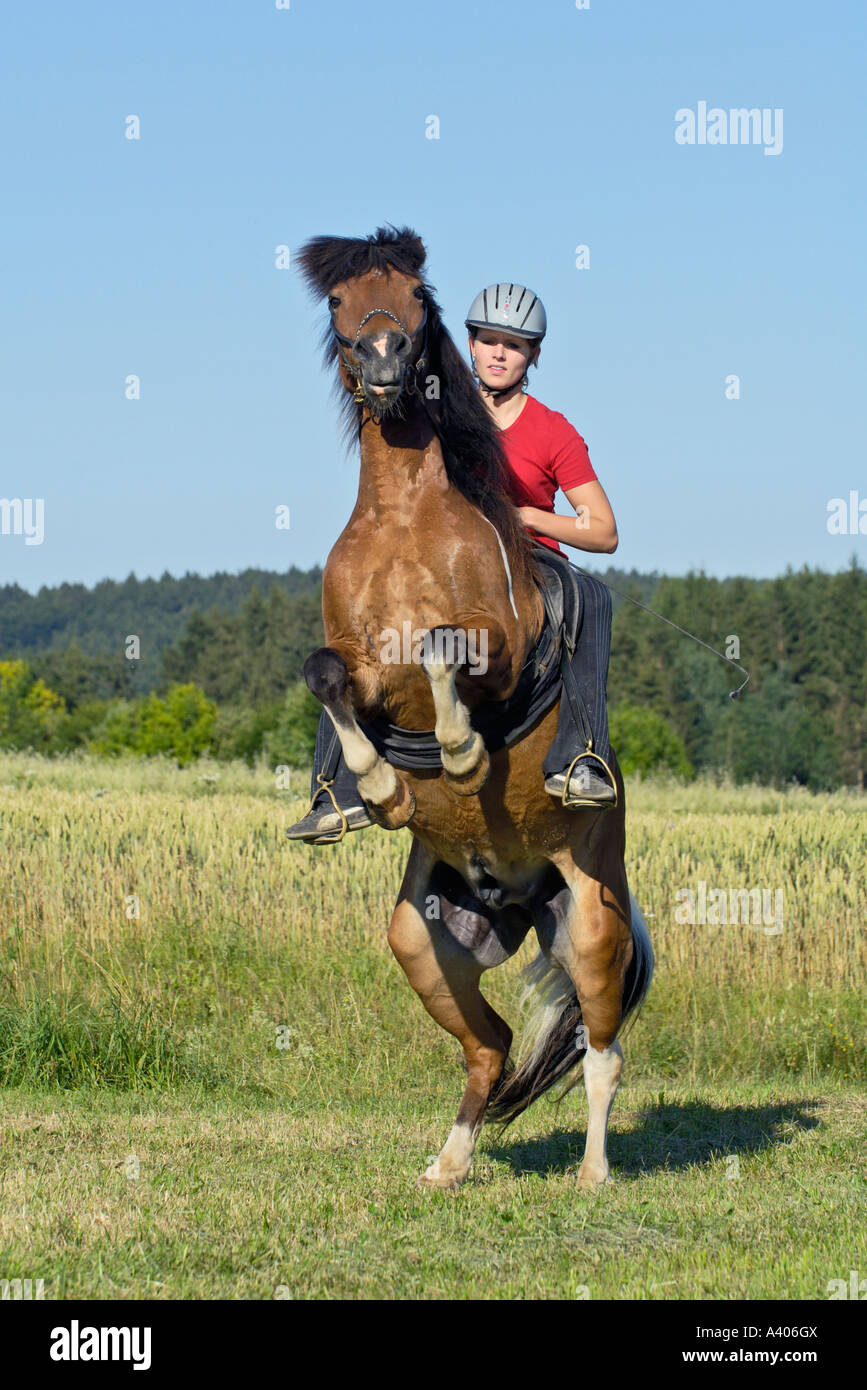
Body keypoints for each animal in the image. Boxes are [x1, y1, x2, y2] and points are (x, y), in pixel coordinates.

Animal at [294, 225, 653, 1191]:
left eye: (417, 299)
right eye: (339, 302)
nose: (386, 363)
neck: (402, 522)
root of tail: (513, 894)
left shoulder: (493, 649)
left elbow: (442, 647)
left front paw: (456, 752)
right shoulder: (358, 668)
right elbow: (326, 675)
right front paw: (377, 789)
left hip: (592, 924)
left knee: (600, 1052)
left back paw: (594, 1174)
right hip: (422, 940)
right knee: (487, 1047)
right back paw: (449, 1164)